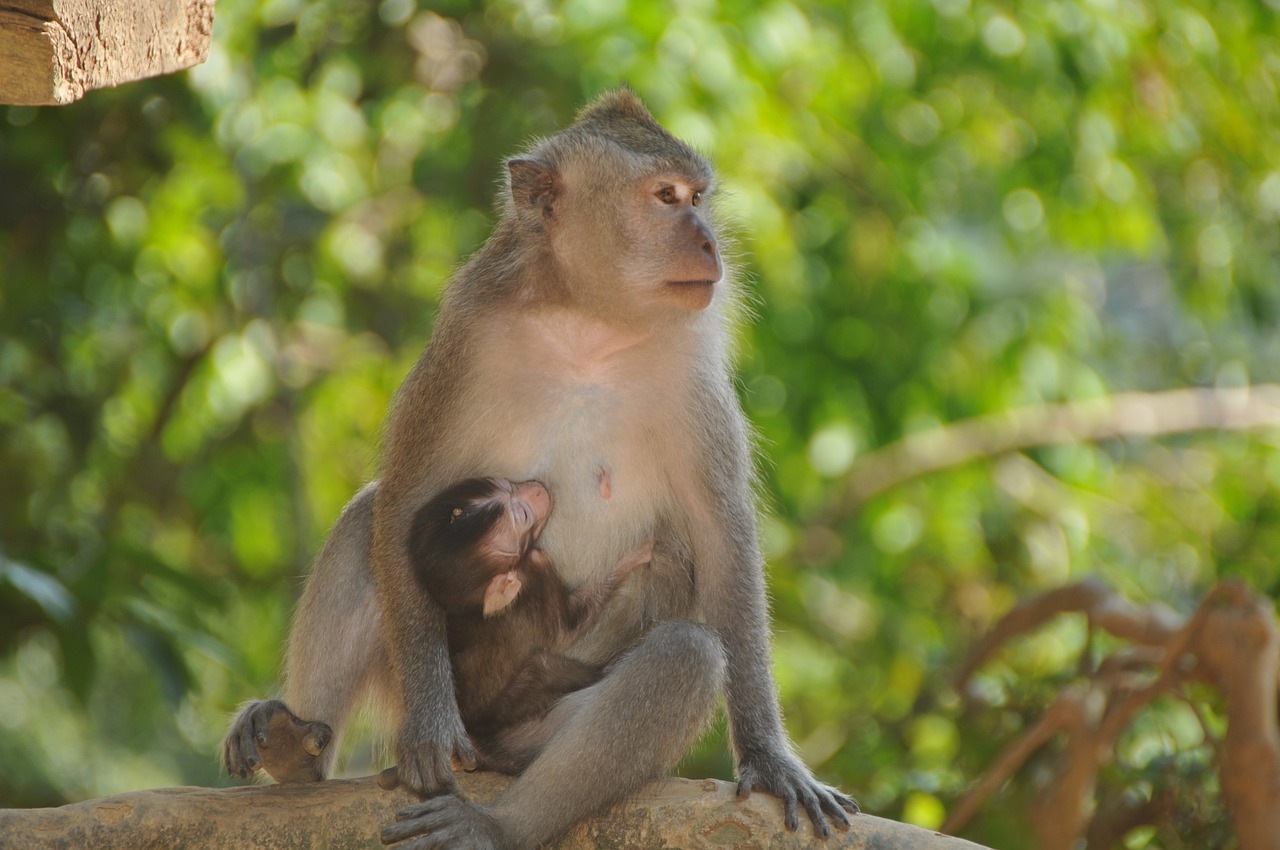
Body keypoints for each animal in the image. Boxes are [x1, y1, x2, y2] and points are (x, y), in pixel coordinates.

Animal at [409, 473, 650, 773]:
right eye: (522, 516)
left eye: (506, 485)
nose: (536, 488)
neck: (474, 606)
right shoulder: (536, 570)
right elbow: (566, 630)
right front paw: (634, 556)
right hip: (508, 708)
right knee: (543, 667)